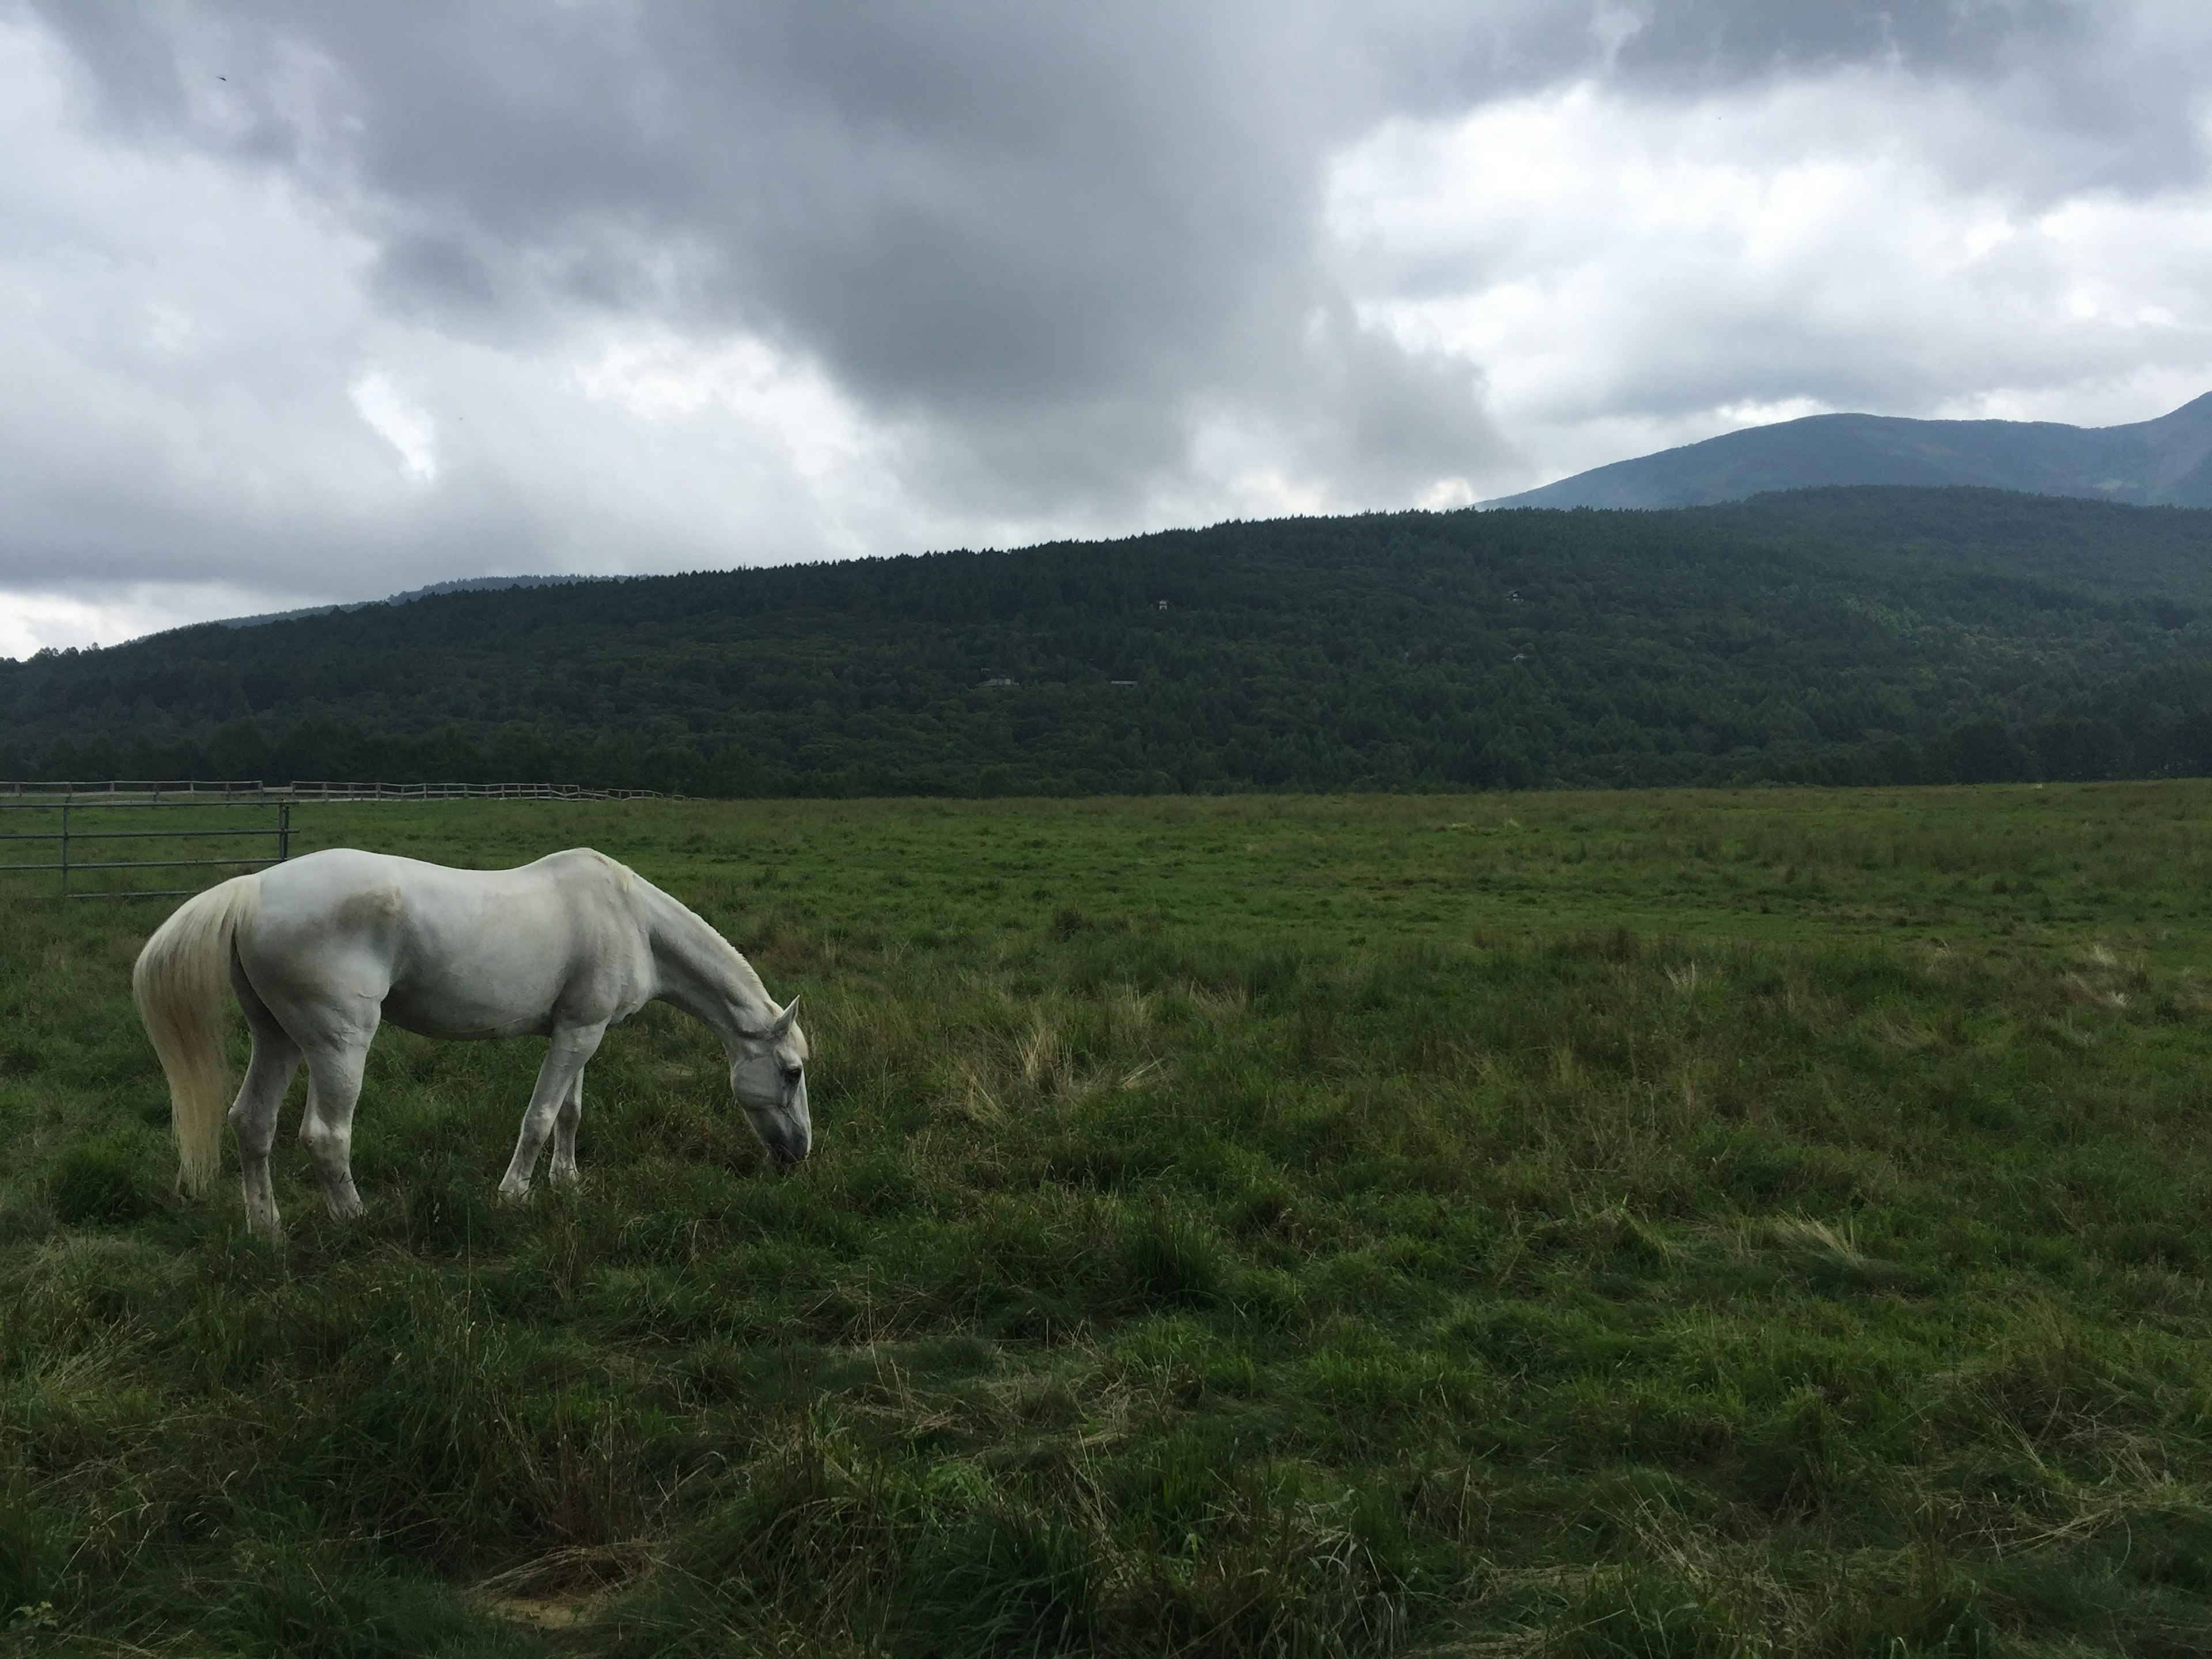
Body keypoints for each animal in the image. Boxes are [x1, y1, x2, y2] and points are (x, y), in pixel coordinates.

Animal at [129, 849, 809, 1238]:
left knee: (252, 1122)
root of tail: (252, 889)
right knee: (325, 1135)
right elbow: (539, 1118)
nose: (798, 1155)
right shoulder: (577, 1034)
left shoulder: (581, 1031)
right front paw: (514, 1197)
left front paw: (567, 1182)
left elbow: (569, 1113)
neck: (631, 920)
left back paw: (265, 1228)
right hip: (337, 1045)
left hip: (277, 1039)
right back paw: (354, 1221)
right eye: (793, 1072)